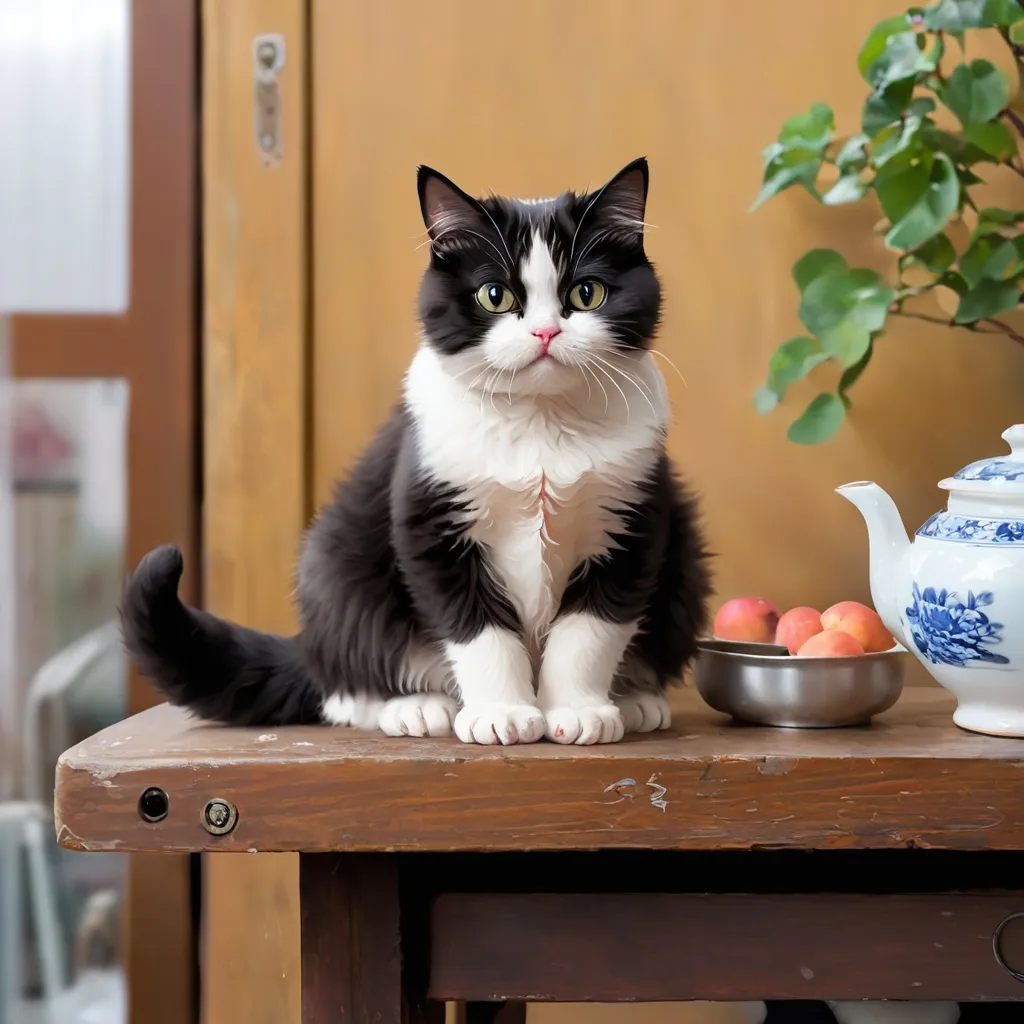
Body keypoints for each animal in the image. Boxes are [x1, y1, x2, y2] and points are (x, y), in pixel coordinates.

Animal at [121, 161, 712, 753]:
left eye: (588, 293)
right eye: (494, 295)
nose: (545, 331)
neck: (540, 421)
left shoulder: (635, 513)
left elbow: (592, 626)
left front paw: (578, 709)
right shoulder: (430, 509)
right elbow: (476, 626)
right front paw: (501, 712)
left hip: (683, 558)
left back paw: (634, 700)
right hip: (336, 564)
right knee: (342, 683)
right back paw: (412, 706)